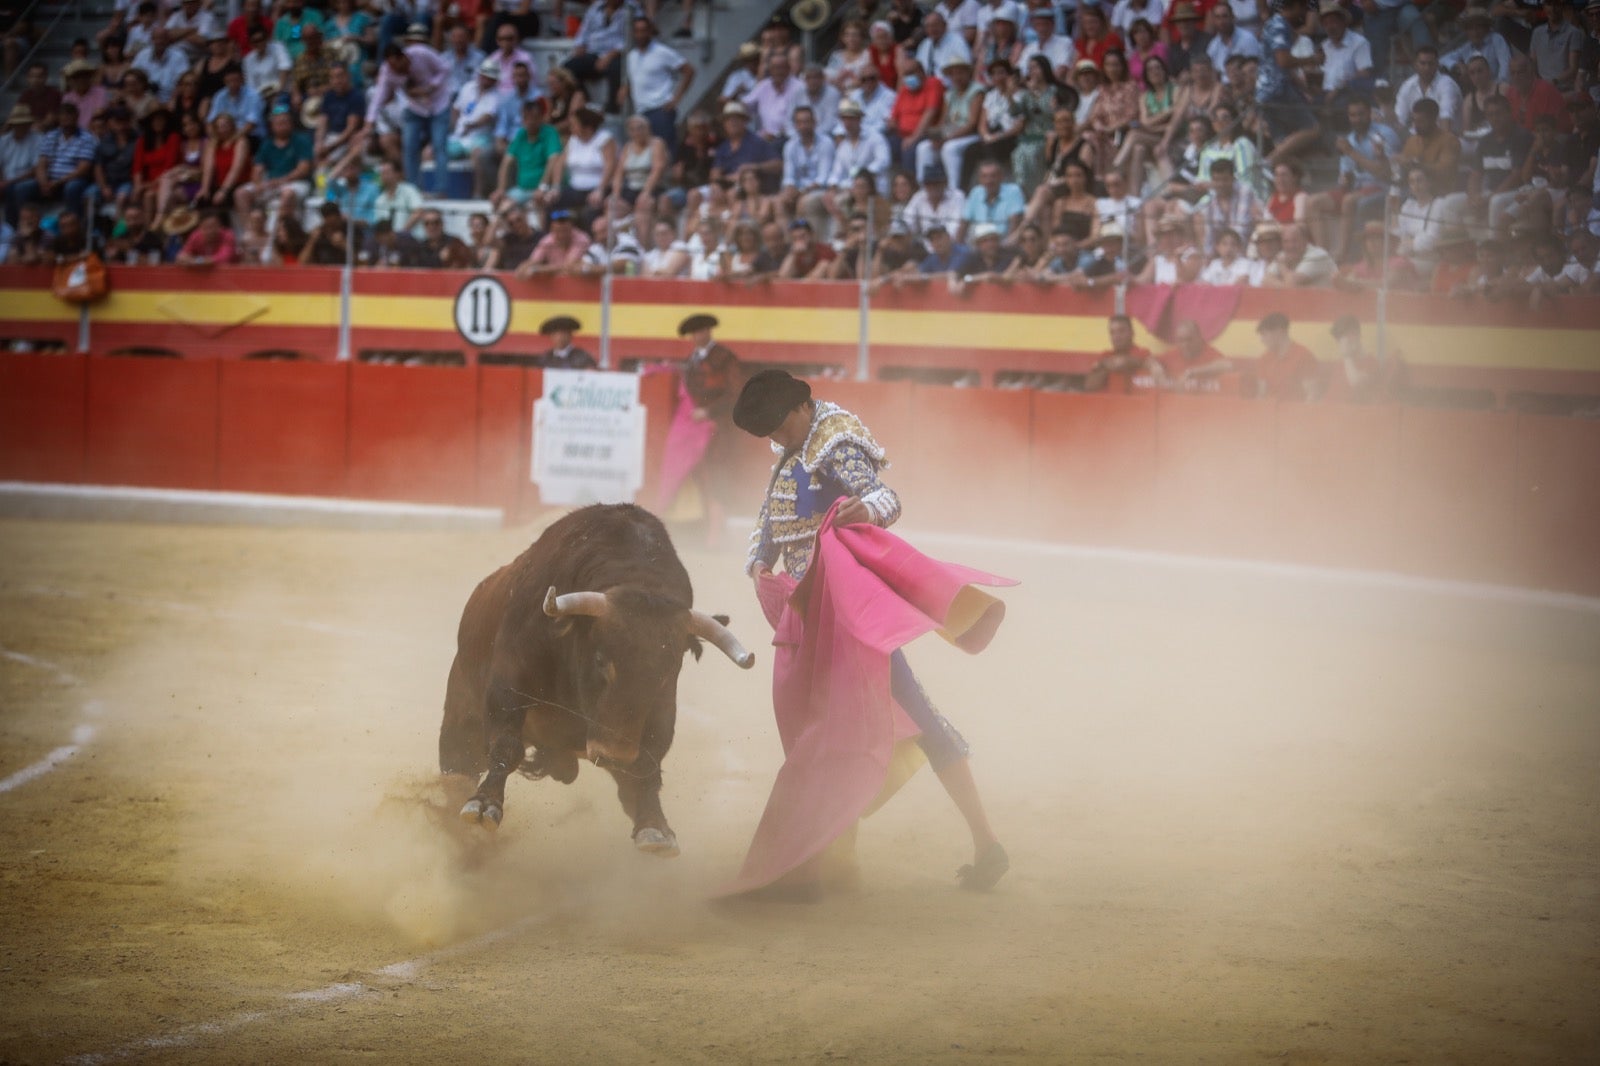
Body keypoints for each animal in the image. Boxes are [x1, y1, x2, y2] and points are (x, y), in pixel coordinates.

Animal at [435, 499, 752, 857]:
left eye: (665, 672)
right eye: (601, 660)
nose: (614, 755)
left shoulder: (661, 709)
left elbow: (647, 766)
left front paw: (654, 827)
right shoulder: (509, 681)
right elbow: (506, 744)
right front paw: (484, 804)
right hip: (462, 719)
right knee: (458, 766)